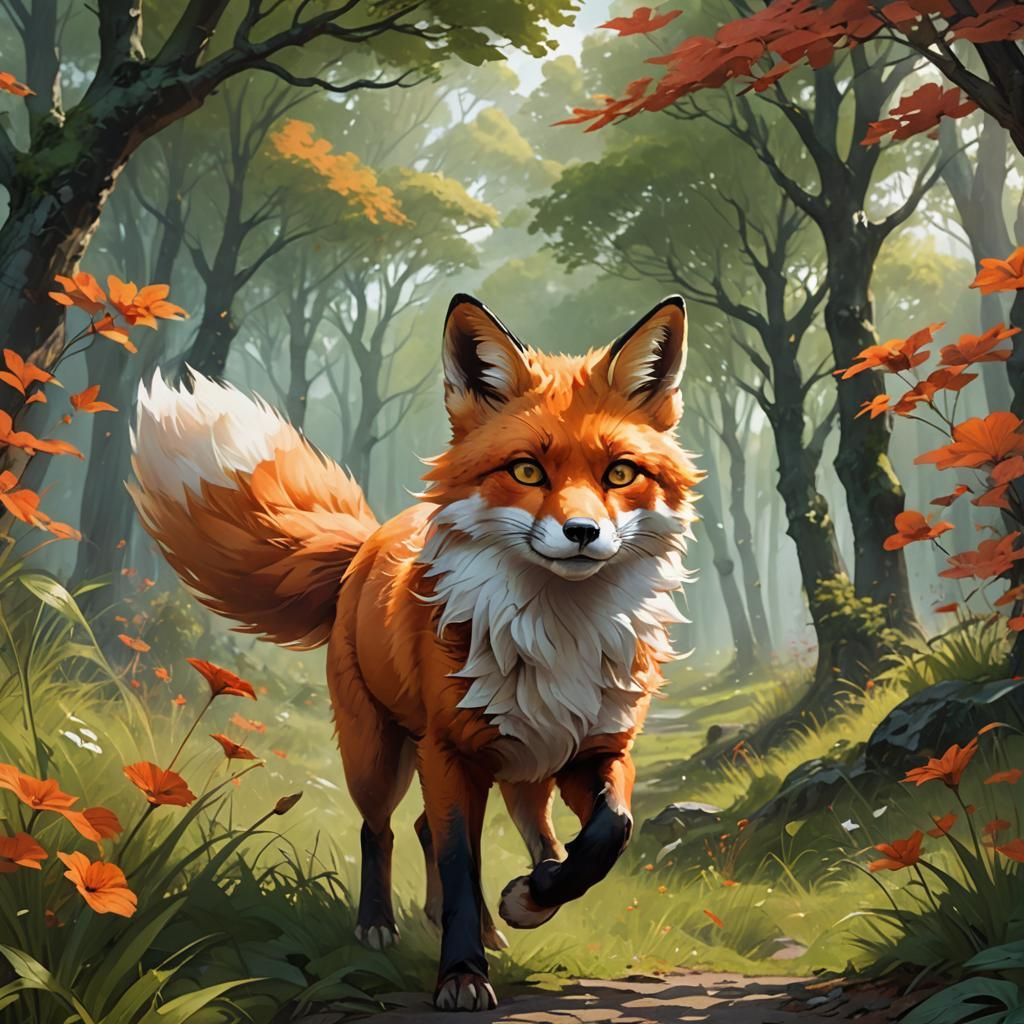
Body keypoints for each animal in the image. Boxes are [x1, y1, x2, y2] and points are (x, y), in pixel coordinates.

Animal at [129, 294, 700, 1012]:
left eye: (620, 473)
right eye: (527, 470)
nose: (582, 533)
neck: (556, 637)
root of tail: (369, 540)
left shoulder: (597, 749)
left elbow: (607, 836)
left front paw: (530, 899)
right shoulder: (449, 751)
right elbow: (458, 866)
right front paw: (461, 974)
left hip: (522, 771)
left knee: (499, 833)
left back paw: (505, 912)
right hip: (381, 756)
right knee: (386, 830)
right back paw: (380, 925)